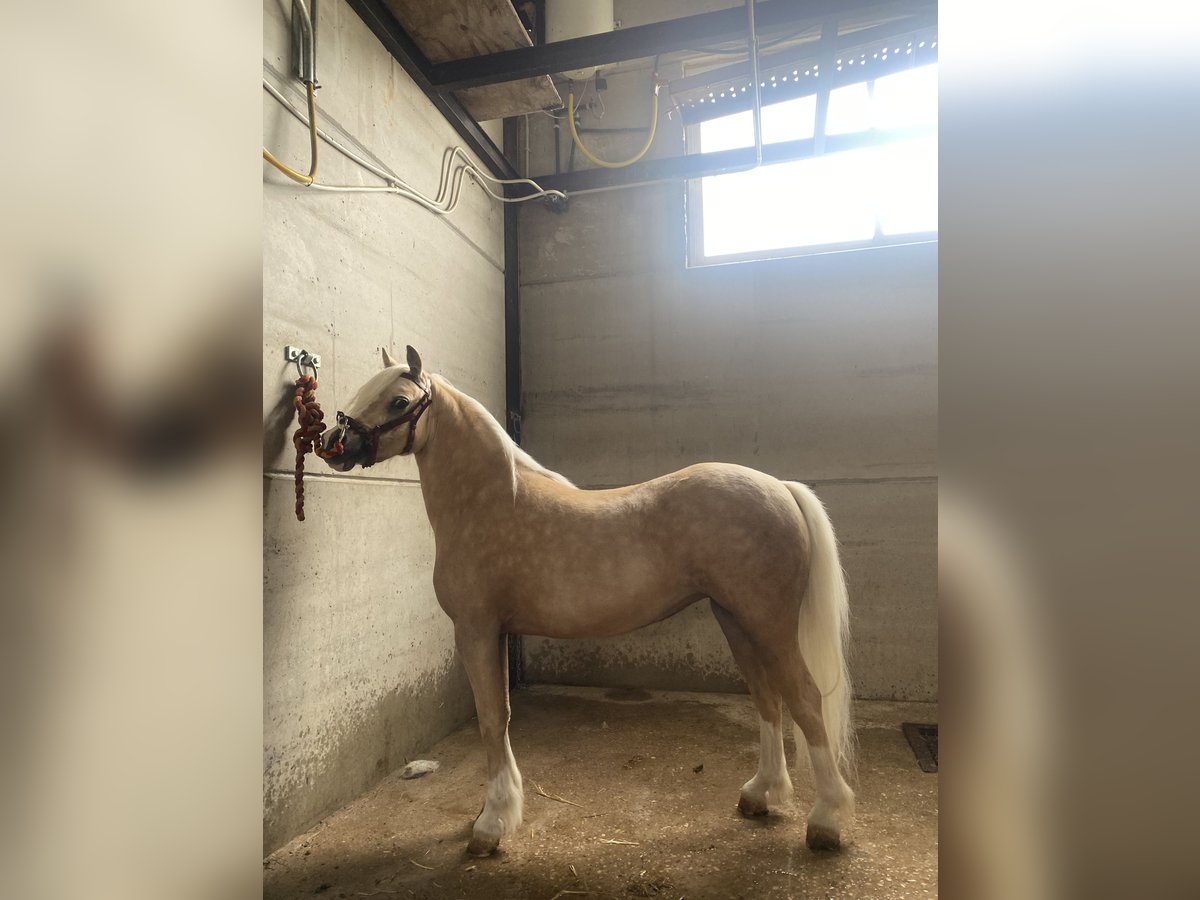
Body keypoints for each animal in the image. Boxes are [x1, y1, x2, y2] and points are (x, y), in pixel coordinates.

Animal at [321, 348, 854, 859]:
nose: (331, 442)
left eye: (399, 402)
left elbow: (490, 719)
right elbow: (502, 716)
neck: (490, 503)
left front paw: (491, 825)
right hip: (736, 620)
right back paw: (761, 794)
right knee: (769, 699)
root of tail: (779, 487)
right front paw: (495, 810)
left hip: (769, 623)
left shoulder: (475, 629)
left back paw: (826, 820)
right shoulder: (496, 632)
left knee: (806, 699)